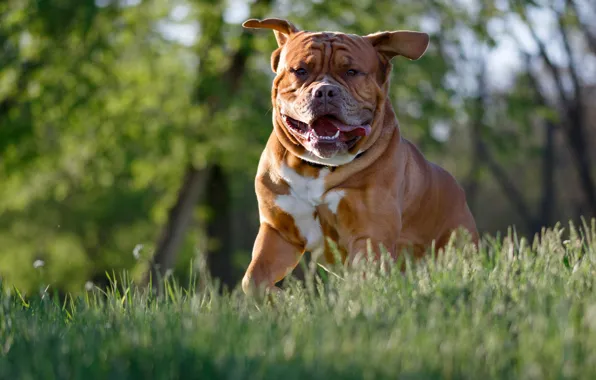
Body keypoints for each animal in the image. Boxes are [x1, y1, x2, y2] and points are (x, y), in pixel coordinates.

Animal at [240, 19, 478, 296]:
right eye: (300, 70)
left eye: (352, 71)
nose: (325, 91)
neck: (319, 167)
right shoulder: (279, 231)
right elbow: (253, 278)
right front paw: (280, 297)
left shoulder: (370, 234)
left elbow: (362, 278)